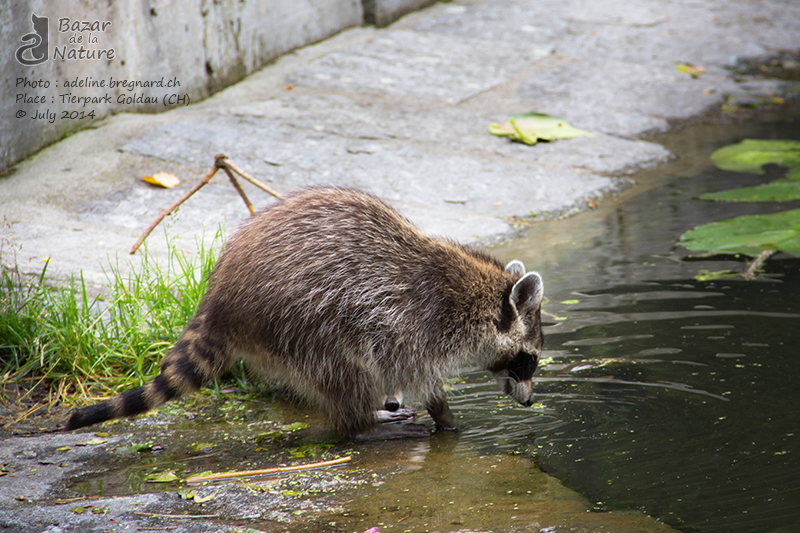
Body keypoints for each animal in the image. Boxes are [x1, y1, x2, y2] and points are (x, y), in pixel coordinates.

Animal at [65, 187, 548, 436]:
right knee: (345, 369)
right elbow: (416, 375)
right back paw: (360, 421)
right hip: (303, 319)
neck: (477, 296)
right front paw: (445, 417)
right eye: (529, 359)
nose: (530, 401)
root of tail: (219, 299)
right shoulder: (417, 324)